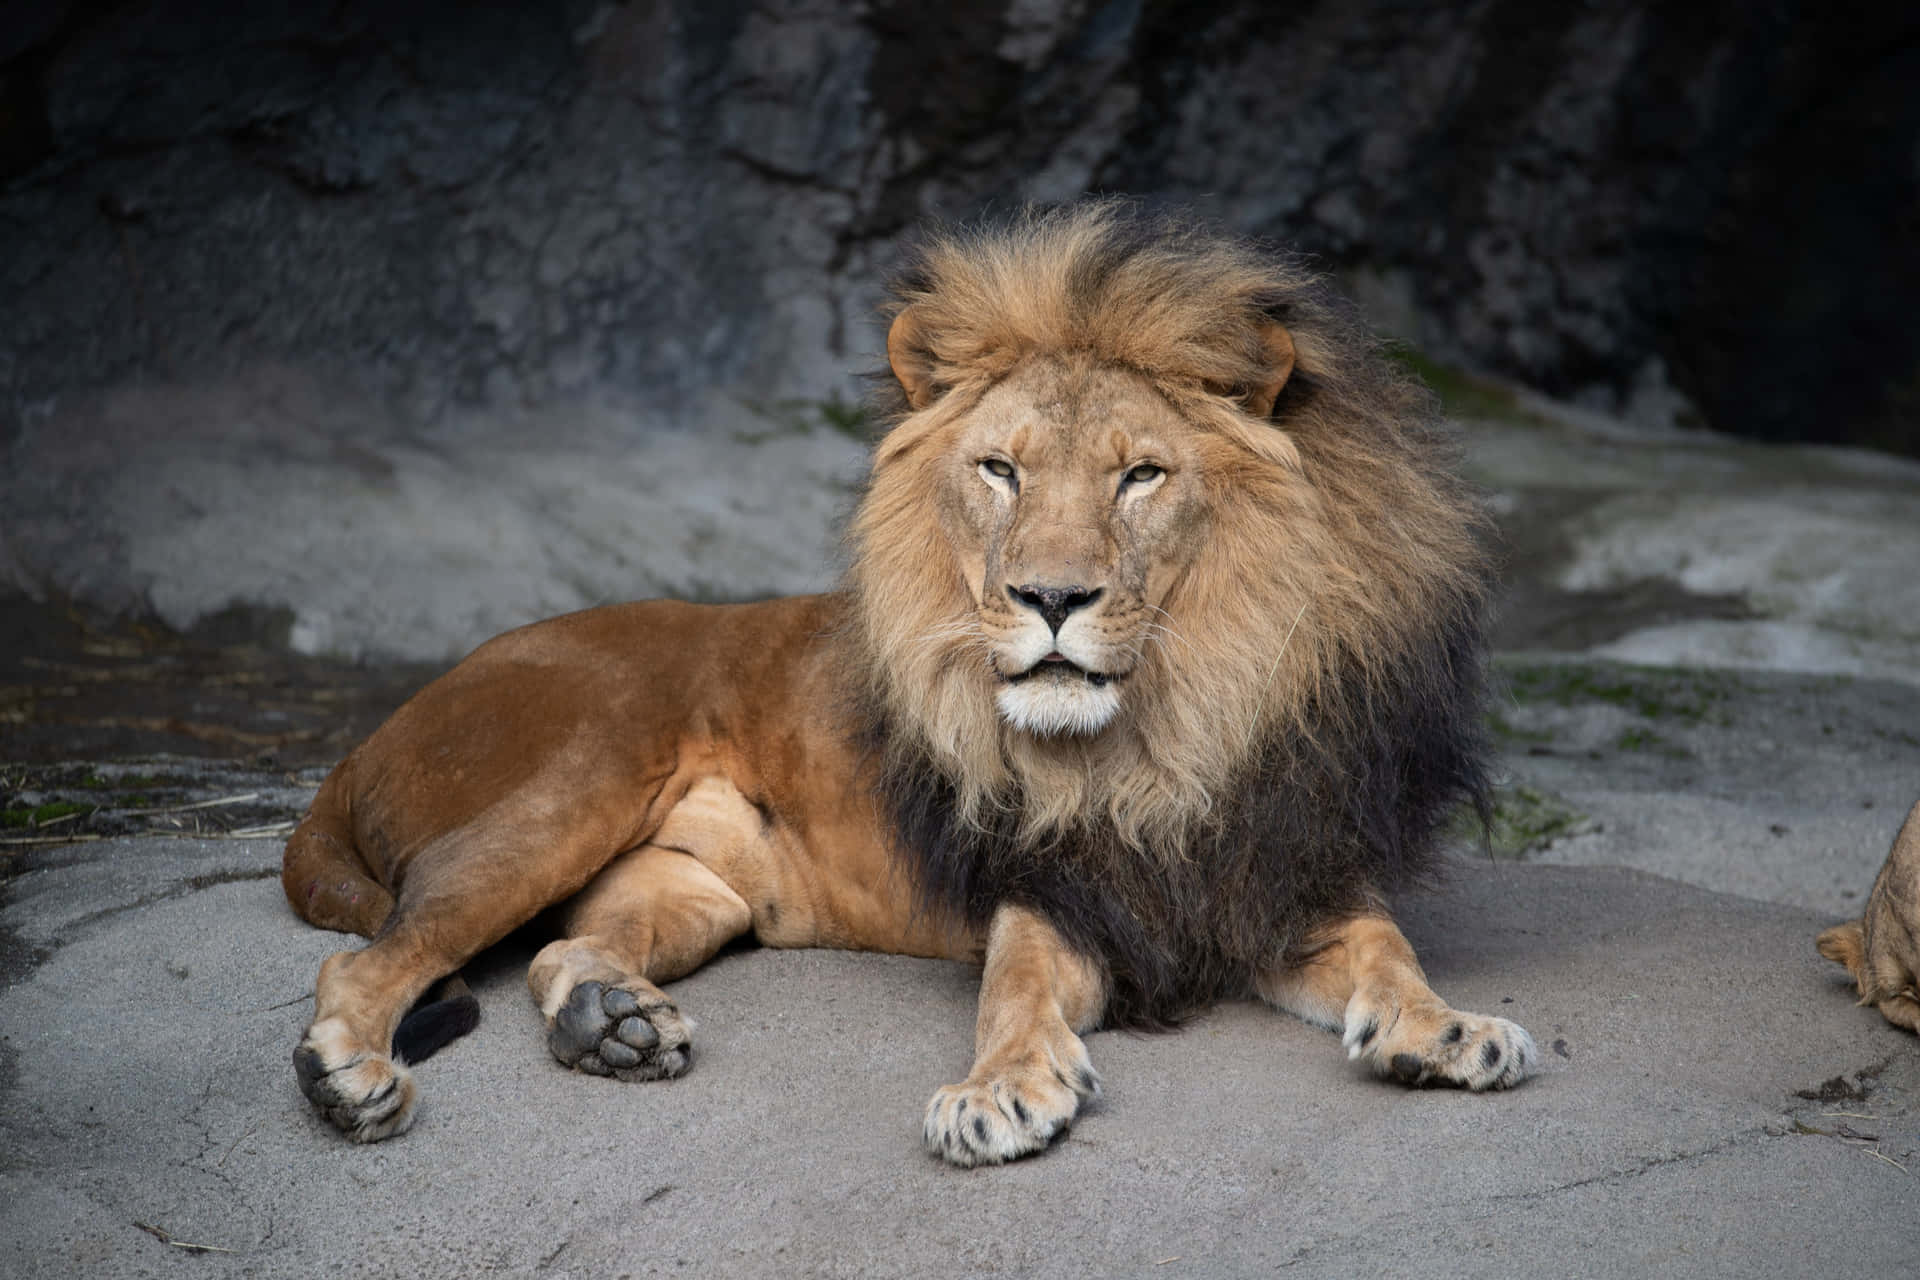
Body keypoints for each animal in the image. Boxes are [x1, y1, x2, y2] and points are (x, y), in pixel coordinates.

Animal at [284, 197, 1536, 1159]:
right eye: (999, 470)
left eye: (1140, 475)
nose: (1051, 596)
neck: (1172, 724)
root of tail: (359, 747)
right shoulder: (1048, 891)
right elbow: (1014, 992)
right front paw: (999, 1091)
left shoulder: (1283, 872)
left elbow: (1390, 951)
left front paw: (1449, 1029)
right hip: (573, 777)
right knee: (365, 960)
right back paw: (351, 1077)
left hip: (692, 887)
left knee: (563, 946)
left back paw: (609, 1020)